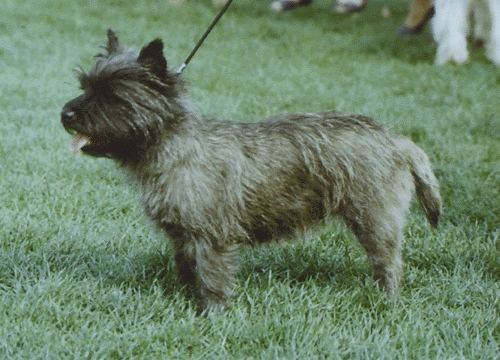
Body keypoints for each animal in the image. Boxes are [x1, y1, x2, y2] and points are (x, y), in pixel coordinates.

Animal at [61, 28, 442, 312]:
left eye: (112, 94)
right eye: (85, 85)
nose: (66, 113)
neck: (172, 145)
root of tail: (397, 140)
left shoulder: (212, 238)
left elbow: (212, 278)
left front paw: (212, 315)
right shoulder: (183, 236)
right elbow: (187, 270)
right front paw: (186, 300)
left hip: (374, 220)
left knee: (389, 263)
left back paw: (387, 302)